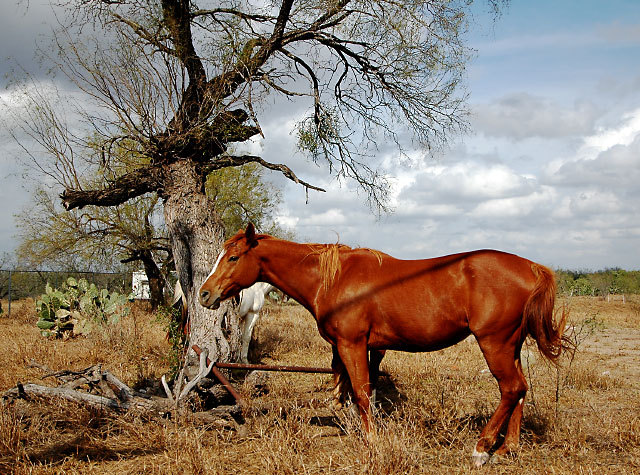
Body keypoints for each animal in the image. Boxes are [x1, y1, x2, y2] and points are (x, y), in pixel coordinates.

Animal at [199, 225, 564, 466]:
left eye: (233, 257)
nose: (204, 294)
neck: (334, 278)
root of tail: (532, 267)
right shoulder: (364, 348)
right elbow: (356, 391)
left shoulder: (353, 344)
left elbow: (361, 391)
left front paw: (371, 440)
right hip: (511, 346)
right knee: (520, 389)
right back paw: (507, 448)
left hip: (495, 343)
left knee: (511, 388)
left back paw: (482, 447)